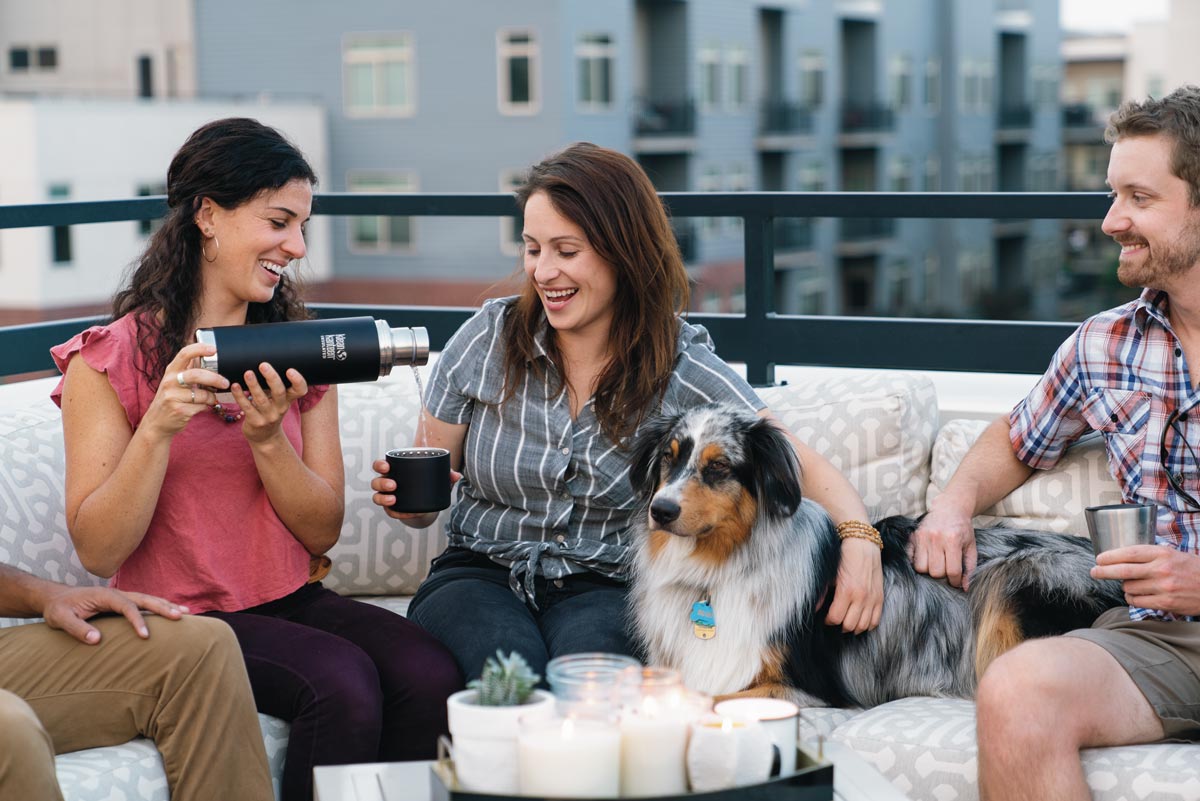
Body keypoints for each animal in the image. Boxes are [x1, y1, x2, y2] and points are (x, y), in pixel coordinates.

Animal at [624, 402, 1128, 705]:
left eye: (719, 467)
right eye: (669, 458)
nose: (660, 511)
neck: (721, 567)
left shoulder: (798, 688)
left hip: (1017, 578)